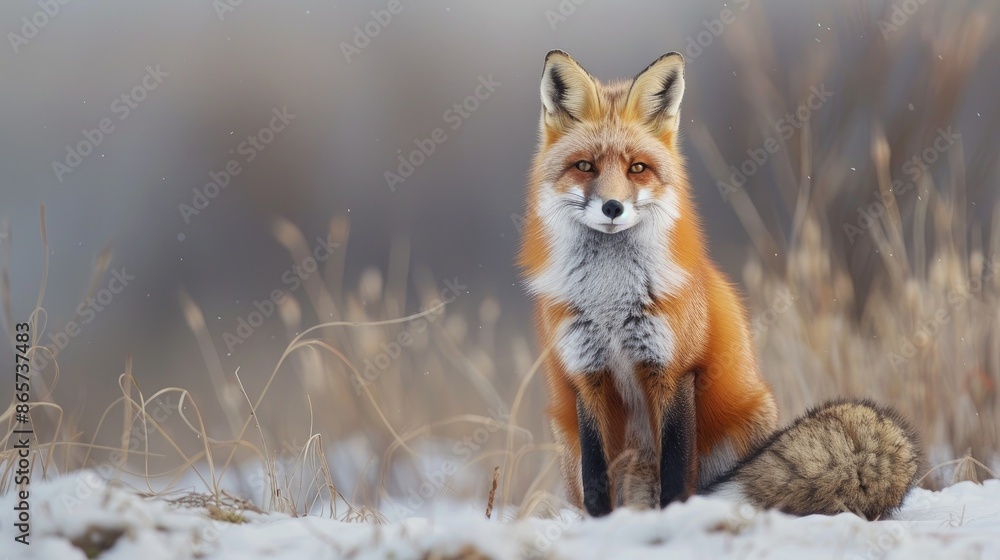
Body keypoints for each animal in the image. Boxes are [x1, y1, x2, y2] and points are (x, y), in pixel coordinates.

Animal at [517, 50, 921, 520]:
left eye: (637, 168)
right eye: (585, 166)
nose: (612, 207)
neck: (610, 300)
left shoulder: (674, 370)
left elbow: (676, 473)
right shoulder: (588, 374)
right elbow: (597, 481)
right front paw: (604, 528)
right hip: (567, 436)